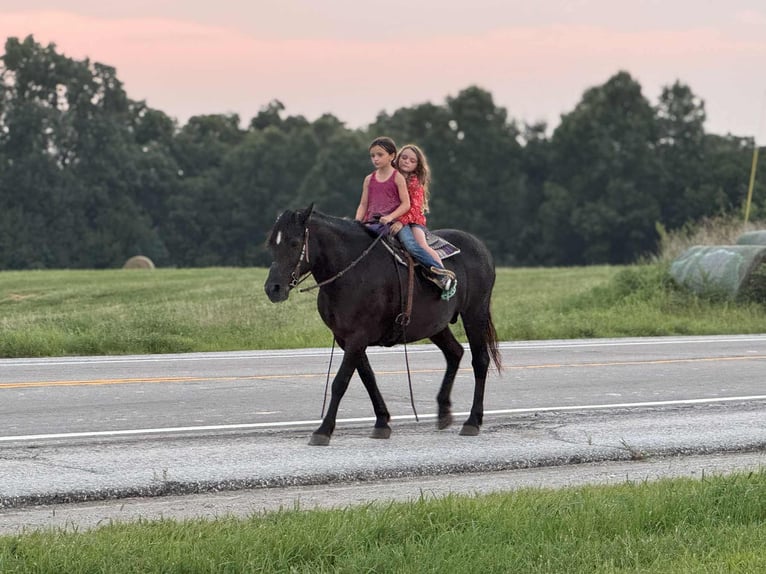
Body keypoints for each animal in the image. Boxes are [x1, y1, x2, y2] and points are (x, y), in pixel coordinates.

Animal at [264, 205, 502, 445]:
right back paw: (444, 412)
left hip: (475, 314)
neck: (350, 271)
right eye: (272, 244)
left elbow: (341, 381)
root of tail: (479, 245)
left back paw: (472, 421)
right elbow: (368, 378)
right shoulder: (345, 339)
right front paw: (382, 422)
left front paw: (323, 430)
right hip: (435, 325)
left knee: (480, 360)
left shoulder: (357, 337)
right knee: (454, 353)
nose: (273, 288)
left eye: (294, 243)